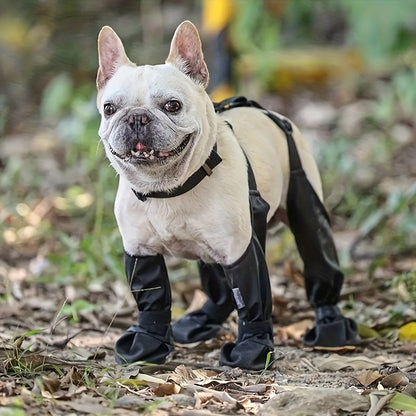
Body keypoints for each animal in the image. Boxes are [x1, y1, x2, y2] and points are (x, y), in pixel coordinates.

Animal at [95, 21, 358, 368]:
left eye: (172, 106)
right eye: (110, 109)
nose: (137, 117)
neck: (169, 189)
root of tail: (265, 111)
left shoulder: (240, 250)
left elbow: (252, 299)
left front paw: (252, 349)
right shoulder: (141, 252)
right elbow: (152, 299)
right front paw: (146, 344)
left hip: (304, 205)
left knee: (318, 256)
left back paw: (330, 326)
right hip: (210, 249)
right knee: (218, 287)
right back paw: (202, 319)